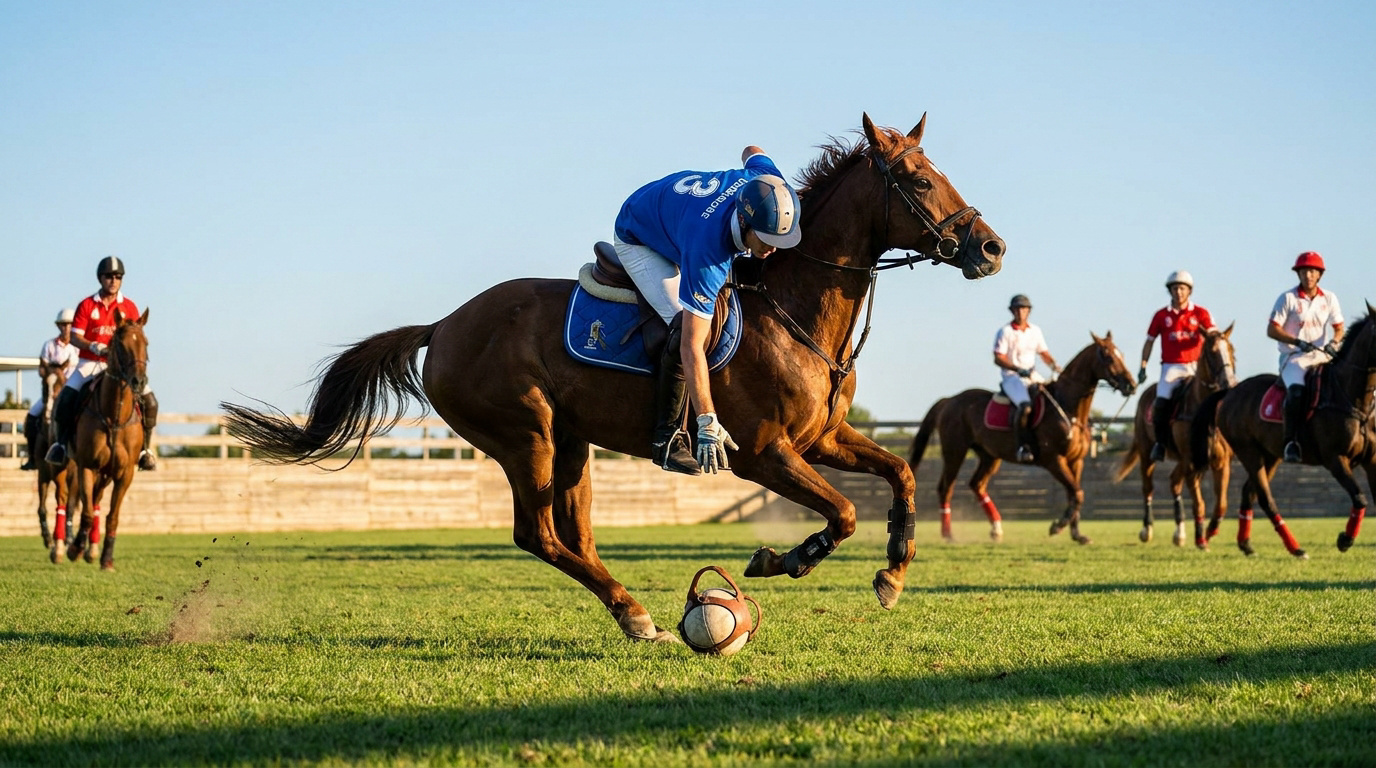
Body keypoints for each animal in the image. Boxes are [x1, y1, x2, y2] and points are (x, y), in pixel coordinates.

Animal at [60, 309, 150, 570]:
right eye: (120, 345)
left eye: (146, 343)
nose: (139, 381)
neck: (114, 415)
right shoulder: (86, 466)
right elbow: (88, 512)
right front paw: (75, 549)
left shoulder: (125, 473)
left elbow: (113, 516)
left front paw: (107, 559)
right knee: (82, 504)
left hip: (107, 474)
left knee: (97, 500)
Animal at [222, 113, 1007, 642]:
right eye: (918, 180)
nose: (991, 247)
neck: (795, 307)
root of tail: (442, 326)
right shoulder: (764, 454)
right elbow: (841, 513)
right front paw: (779, 560)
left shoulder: (823, 438)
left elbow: (898, 476)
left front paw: (894, 571)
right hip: (526, 435)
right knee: (538, 535)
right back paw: (634, 610)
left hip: (571, 444)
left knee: (576, 536)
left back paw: (633, 611)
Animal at [908, 332, 1137, 544]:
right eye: (1108, 357)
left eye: (1122, 355)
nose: (1132, 385)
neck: (1069, 410)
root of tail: (949, 400)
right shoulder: (1054, 460)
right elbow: (1077, 493)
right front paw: (1057, 526)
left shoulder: (1076, 460)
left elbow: (1075, 495)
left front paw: (1077, 535)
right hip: (955, 450)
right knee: (946, 488)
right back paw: (948, 534)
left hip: (989, 455)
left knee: (977, 484)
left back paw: (996, 529)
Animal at [1114, 326, 1237, 548]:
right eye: (1212, 352)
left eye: (1231, 350)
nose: (1230, 383)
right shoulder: (1191, 462)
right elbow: (1199, 504)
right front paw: (1200, 538)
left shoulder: (1221, 462)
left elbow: (1221, 503)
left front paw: (1210, 530)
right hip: (1147, 452)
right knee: (1148, 487)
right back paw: (1147, 529)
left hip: (1180, 459)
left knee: (1174, 482)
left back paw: (1179, 533)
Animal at [1191, 306, 1375, 556]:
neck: (1354, 400)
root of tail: (1230, 392)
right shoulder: (1335, 458)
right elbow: (1359, 498)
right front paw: (1345, 540)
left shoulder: (1371, 459)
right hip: (1249, 452)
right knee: (1265, 498)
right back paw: (1296, 548)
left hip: (1270, 455)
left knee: (1249, 492)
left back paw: (1246, 544)